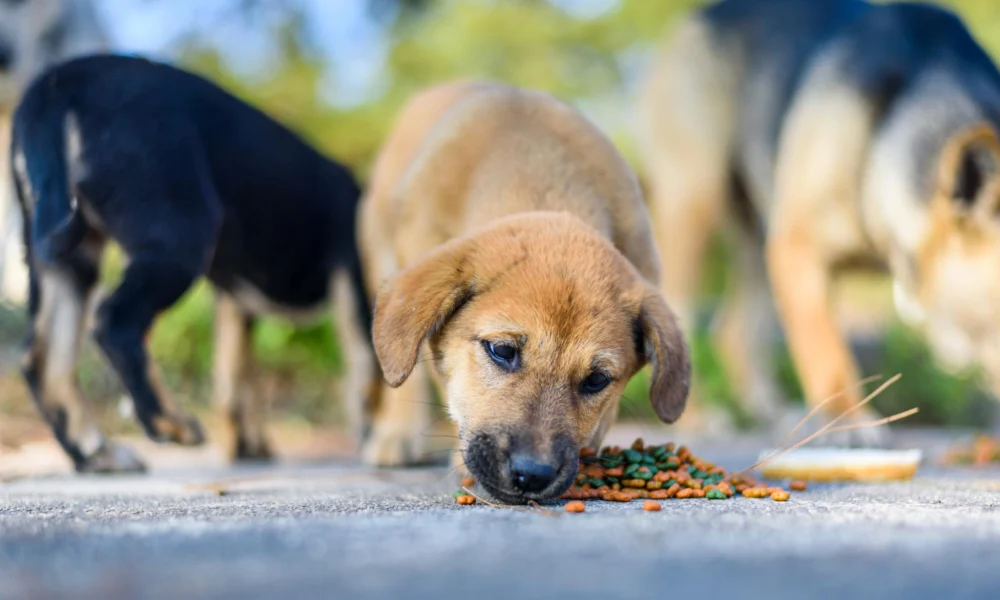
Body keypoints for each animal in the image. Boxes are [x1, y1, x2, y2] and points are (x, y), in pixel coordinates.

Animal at [9, 52, 376, 474]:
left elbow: (237, 380)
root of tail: (59, 79)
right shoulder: (353, 279)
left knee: (44, 360)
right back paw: (170, 422)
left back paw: (97, 454)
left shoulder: (235, 304)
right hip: (179, 237)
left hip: (67, 258)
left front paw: (250, 448)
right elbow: (366, 367)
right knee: (115, 324)